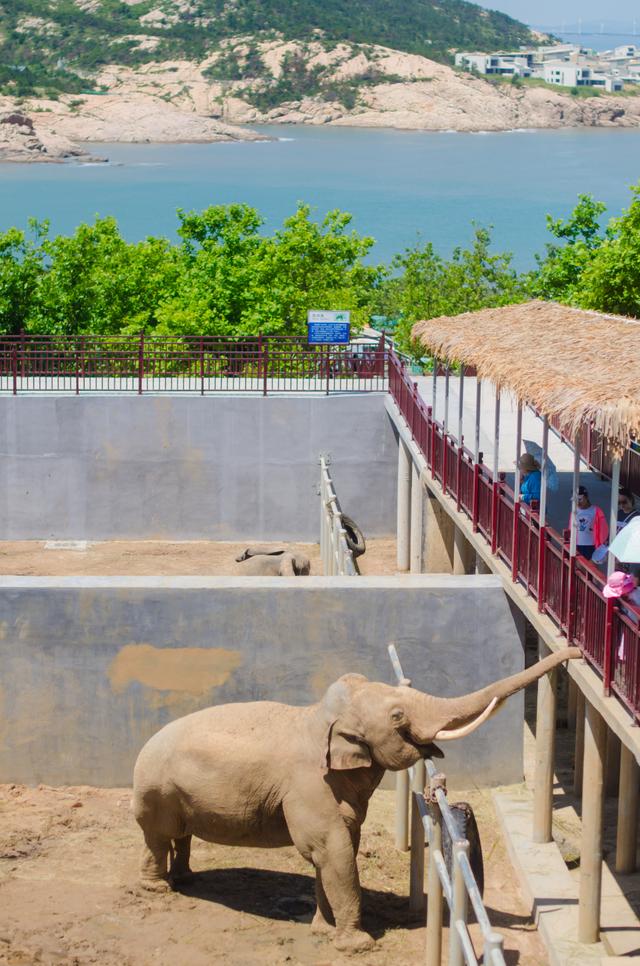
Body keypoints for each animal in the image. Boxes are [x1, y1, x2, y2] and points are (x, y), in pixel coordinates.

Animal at [131, 648, 580, 956]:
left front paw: (323, 931)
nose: (575, 652)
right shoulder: (310, 786)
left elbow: (337, 849)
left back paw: (186, 879)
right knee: (158, 836)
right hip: (156, 792)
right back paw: (158, 889)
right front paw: (358, 945)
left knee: (181, 836)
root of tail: (142, 750)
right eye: (398, 717)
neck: (319, 717)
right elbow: (333, 850)